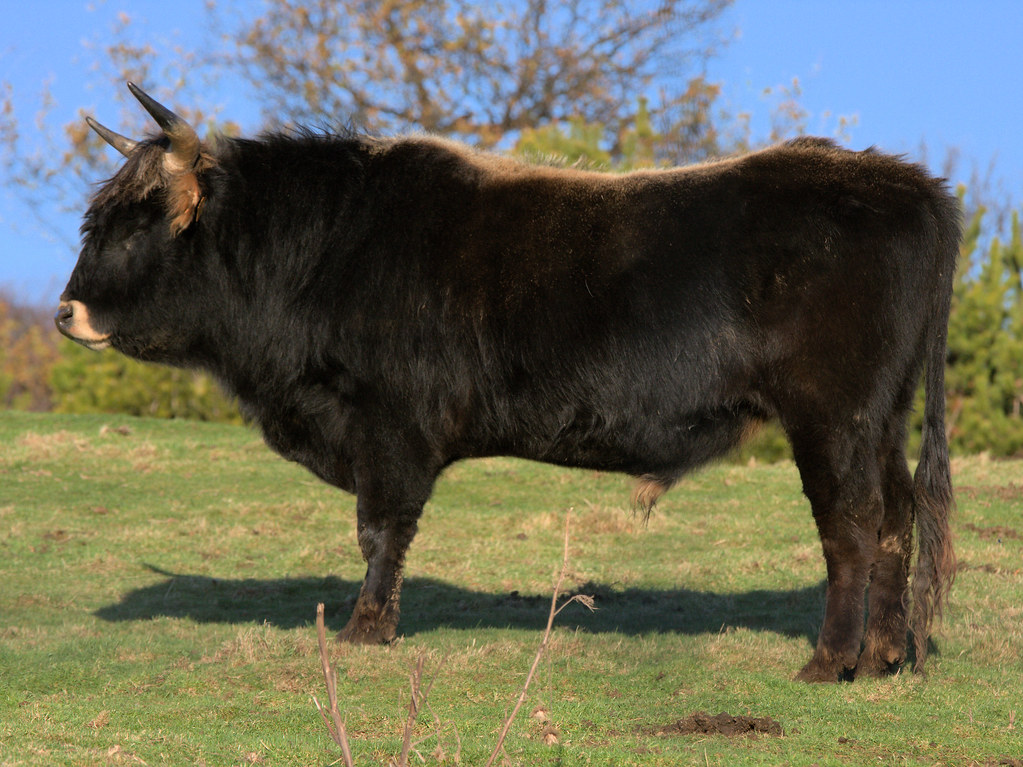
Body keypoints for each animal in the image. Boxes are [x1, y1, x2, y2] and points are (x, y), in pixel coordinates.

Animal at [57, 83, 959, 683]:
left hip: (831, 416)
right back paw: (885, 656)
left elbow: (380, 532)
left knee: (851, 525)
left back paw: (829, 661)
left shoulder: (390, 429)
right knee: (895, 519)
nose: (66, 311)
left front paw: (364, 631)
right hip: (879, 417)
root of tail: (904, 180)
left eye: (134, 230)